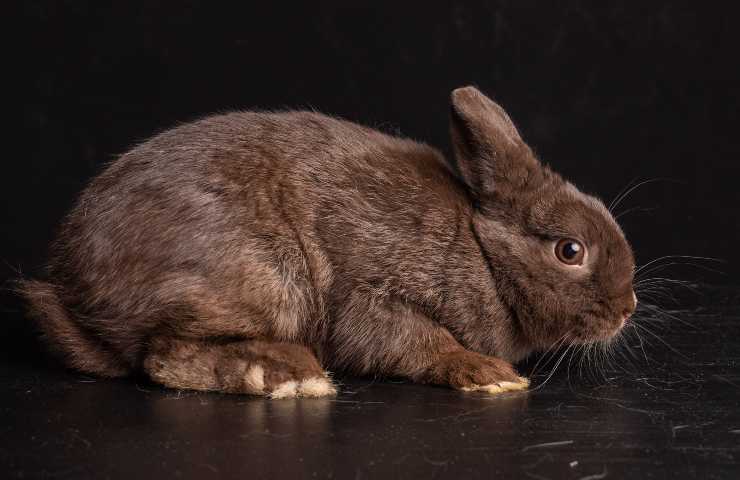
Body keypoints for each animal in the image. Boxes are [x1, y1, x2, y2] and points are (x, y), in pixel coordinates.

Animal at [20, 86, 637, 398]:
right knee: (164, 357)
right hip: (265, 280)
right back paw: (291, 377)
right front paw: (491, 375)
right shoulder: (376, 296)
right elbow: (418, 342)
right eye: (570, 250)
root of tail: (70, 289)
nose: (627, 307)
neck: (481, 251)